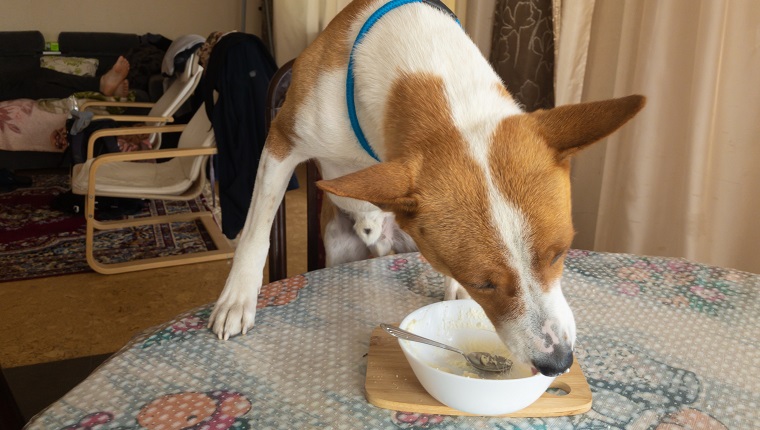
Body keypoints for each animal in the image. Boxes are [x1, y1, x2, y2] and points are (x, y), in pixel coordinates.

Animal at [211, 0, 644, 376]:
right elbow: (256, 229)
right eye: (483, 283)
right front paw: (237, 299)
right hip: (337, 242)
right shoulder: (281, 141)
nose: (558, 362)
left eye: (560, 253)